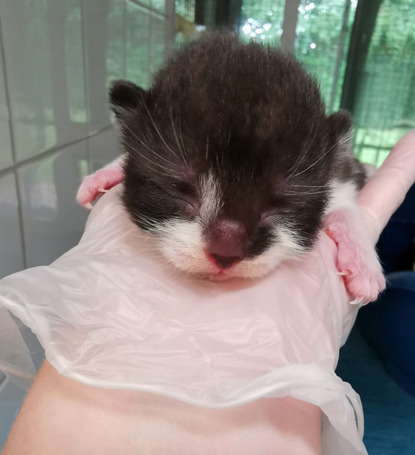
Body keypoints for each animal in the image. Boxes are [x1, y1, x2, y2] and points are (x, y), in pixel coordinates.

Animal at [79, 33, 386, 302]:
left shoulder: (340, 175)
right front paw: (103, 174)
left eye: (283, 203)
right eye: (178, 189)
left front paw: (364, 263)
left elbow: (346, 207)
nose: (225, 253)